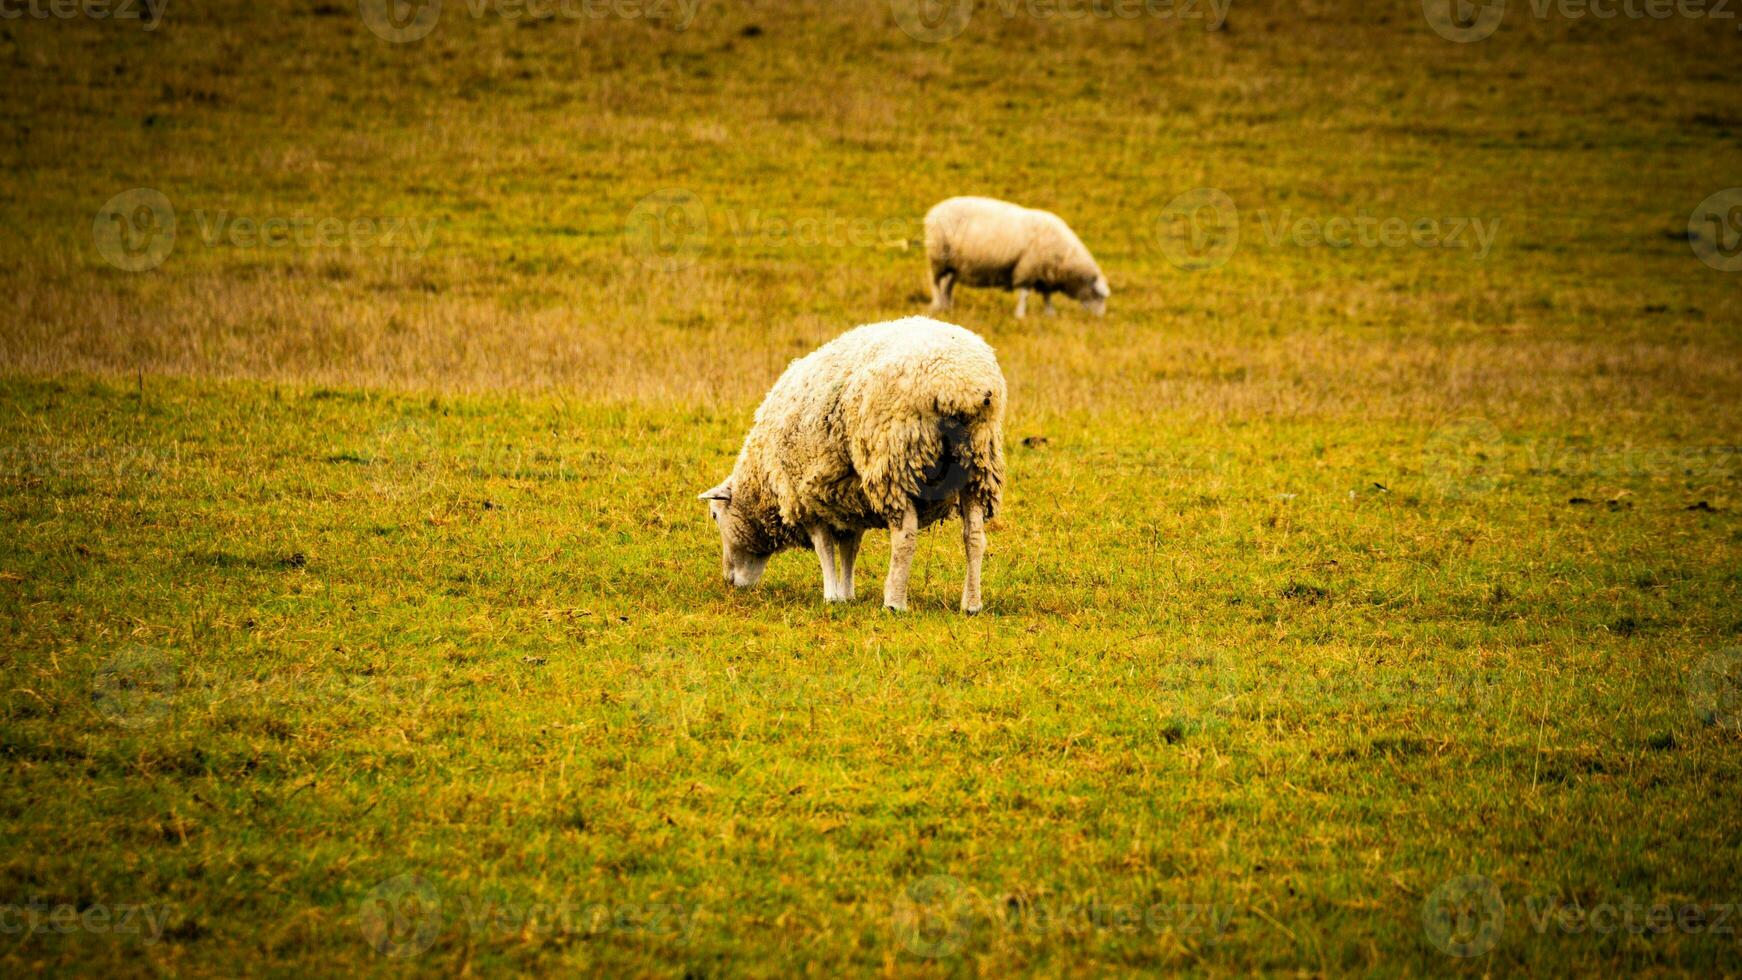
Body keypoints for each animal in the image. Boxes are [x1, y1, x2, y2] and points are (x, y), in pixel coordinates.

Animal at [696, 318, 1010, 616]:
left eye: (714, 515)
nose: (729, 581)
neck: (763, 482)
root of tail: (962, 384)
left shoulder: (805, 499)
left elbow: (824, 548)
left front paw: (831, 596)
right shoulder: (848, 500)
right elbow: (850, 548)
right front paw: (847, 594)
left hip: (894, 459)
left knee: (905, 536)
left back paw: (894, 602)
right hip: (978, 462)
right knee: (974, 535)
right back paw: (971, 604)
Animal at [919, 197, 1107, 320]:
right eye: (1099, 295)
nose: (1099, 318)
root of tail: (933, 210)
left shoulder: (1044, 273)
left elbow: (1047, 296)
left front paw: (1050, 314)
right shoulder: (1027, 268)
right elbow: (1024, 295)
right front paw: (1020, 315)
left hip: (955, 263)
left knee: (948, 285)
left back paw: (947, 306)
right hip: (938, 255)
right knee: (935, 281)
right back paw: (937, 304)